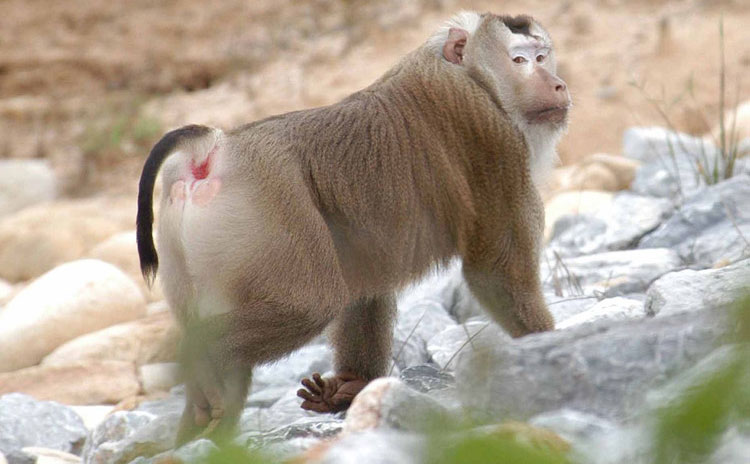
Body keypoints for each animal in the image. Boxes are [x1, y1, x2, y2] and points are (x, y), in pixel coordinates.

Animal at [136, 11, 570, 445]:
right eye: (520, 61)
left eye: (543, 56)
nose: (557, 83)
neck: (470, 75)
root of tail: (214, 149)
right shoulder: (492, 140)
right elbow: (494, 272)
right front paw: (541, 349)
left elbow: (366, 282)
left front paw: (349, 387)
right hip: (268, 208)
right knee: (309, 304)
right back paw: (203, 361)